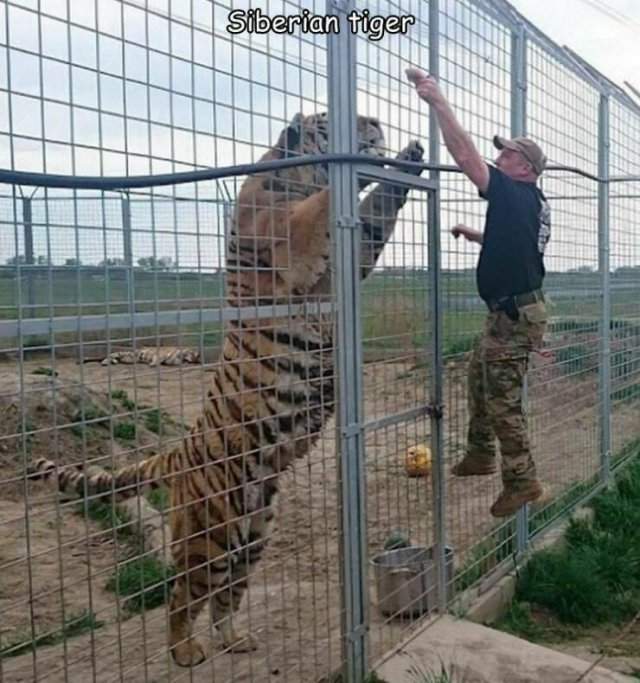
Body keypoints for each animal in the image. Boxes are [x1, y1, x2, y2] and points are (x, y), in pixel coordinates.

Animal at [32, 112, 428, 668]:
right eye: (330, 119)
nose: (374, 122)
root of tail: (179, 452)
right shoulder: (295, 238)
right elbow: (326, 200)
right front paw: (366, 159)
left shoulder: (350, 255)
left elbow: (376, 210)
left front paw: (408, 159)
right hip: (212, 534)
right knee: (182, 593)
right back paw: (185, 651)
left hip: (254, 531)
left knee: (226, 595)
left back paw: (235, 639)